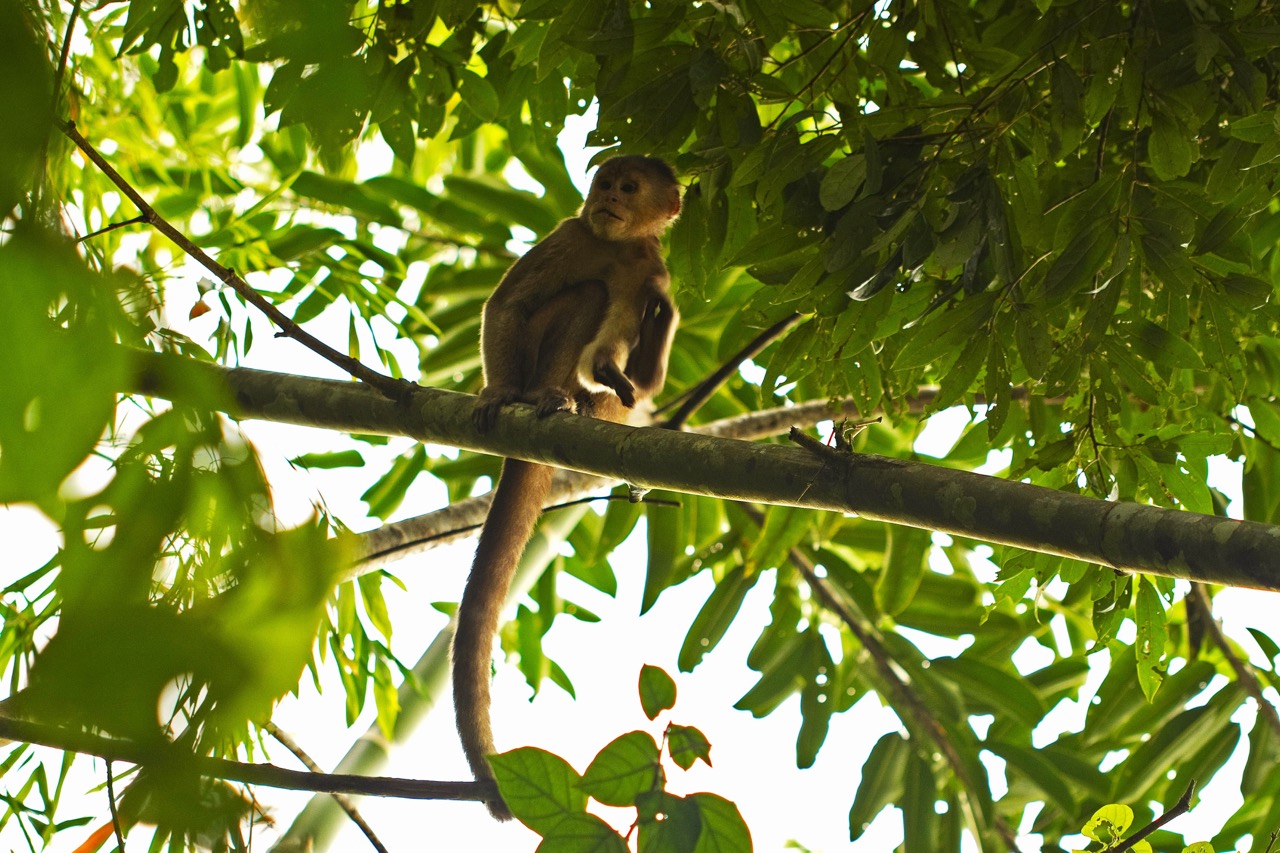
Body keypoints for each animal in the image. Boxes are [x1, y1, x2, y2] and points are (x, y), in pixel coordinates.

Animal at [453, 156, 681, 821]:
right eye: (605, 182)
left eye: (628, 187)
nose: (607, 197)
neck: (617, 244)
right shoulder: (571, 234)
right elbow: (506, 304)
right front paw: (499, 390)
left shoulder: (651, 269)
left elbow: (643, 368)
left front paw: (648, 340)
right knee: (585, 296)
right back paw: (538, 394)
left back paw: (574, 393)